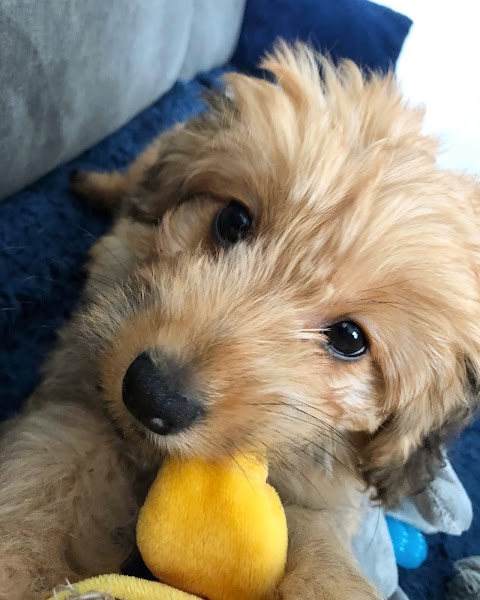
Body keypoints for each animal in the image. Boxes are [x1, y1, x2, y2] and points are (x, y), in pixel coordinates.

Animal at [0, 43, 480, 600]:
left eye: (349, 338)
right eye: (233, 221)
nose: (152, 395)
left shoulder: (316, 496)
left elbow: (320, 553)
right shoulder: (82, 399)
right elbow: (44, 487)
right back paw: (95, 184)